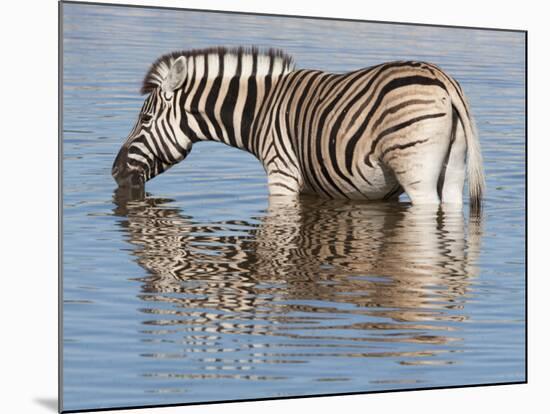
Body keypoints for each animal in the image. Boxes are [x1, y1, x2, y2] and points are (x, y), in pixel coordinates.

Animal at [113, 47, 488, 212]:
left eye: (145, 121)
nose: (114, 172)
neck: (261, 110)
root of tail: (441, 78)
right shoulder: (310, 183)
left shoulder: (281, 173)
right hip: (453, 170)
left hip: (416, 172)